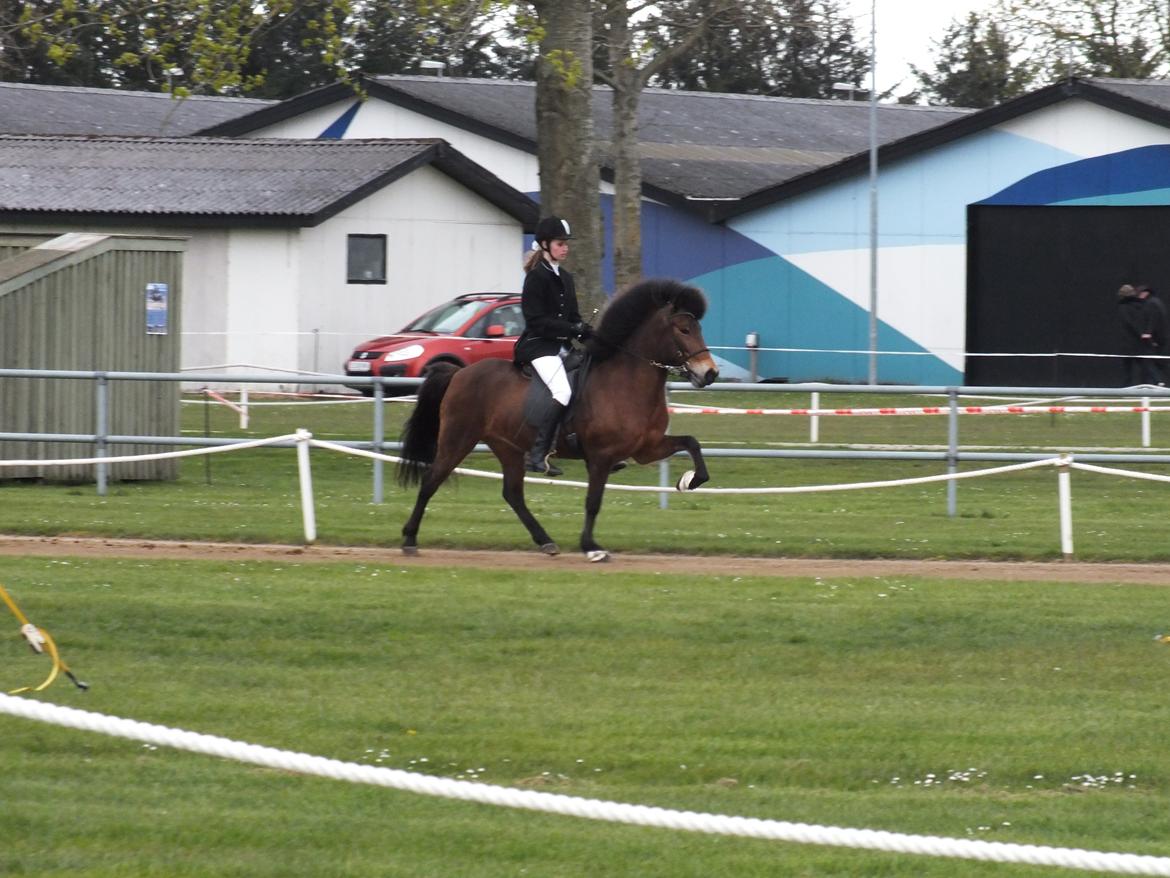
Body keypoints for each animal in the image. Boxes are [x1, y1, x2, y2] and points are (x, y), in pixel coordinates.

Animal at [397, 276, 716, 564]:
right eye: (684, 329)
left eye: (699, 328)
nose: (709, 373)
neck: (626, 381)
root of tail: (460, 373)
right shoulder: (601, 456)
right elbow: (593, 501)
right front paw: (591, 547)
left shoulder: (647, 448)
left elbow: (692, 443)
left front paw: (690, 480)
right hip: (458, 439)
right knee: (431, 480)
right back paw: (410, 540)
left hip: (507, 447)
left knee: (513, 494)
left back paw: (546, 542)